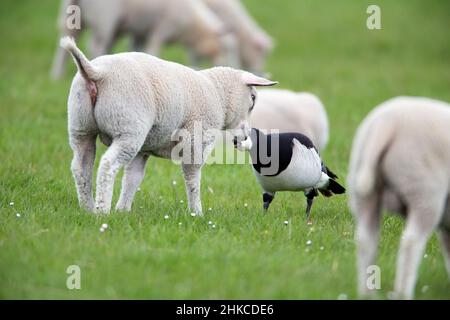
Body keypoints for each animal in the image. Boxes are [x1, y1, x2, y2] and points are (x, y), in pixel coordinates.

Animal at [51, 0, 239, 79]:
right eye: (223, 47)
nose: (225, 64)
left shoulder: (140, 32)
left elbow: (138, 49)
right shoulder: (161, 29)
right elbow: (153, 50)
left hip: (72, 15)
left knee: (66, 43)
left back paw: (57, 76)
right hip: (105, 18)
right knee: (96, 45)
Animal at [60, 37, 278, 216]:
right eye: (253, 99)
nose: (245, 136)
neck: (218, 95)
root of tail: (97, 73)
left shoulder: (144, 149)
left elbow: (132, 179)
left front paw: (123, 210)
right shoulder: (195, 142)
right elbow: (192, 180)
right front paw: (197, 213)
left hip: (81, 128)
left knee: (81, 168)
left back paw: (87, 208)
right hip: (129, 129)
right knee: (107, 165)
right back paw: (102, 211)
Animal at [350, 97, 450, 300]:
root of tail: (385, 124)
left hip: (364, 191)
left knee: (366, 240)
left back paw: (368, 293)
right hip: (425, 192)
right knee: (411, 242)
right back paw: (403, 292)